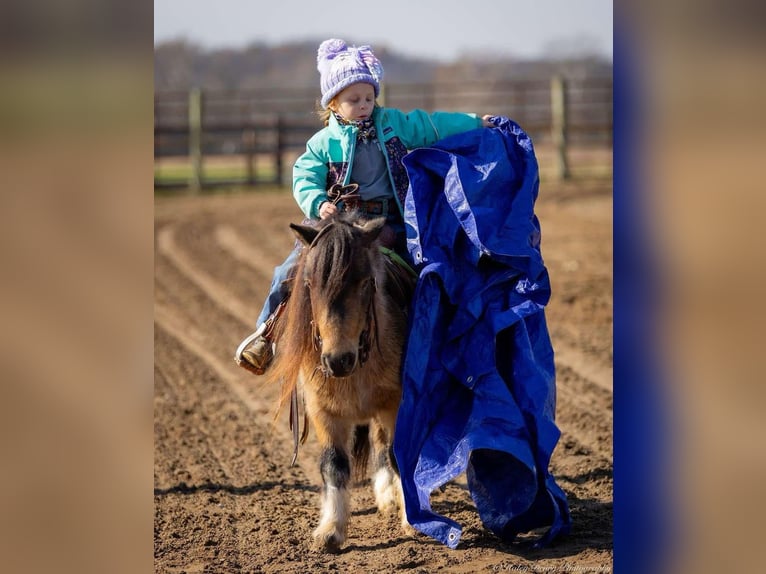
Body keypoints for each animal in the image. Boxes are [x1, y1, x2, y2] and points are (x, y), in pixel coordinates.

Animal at [268, 212, 416, 552]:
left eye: (366, 282)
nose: (338, 360)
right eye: (309, 284)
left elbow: (396, 454)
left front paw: (413, 522)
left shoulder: (395, 402)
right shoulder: (323, 411)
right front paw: (330, 531)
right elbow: (334, 465)